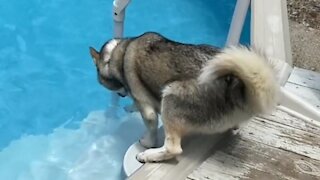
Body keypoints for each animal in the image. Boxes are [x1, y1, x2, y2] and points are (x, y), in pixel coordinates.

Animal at [89, 32, 278, 163]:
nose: (120, 94)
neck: (117, 53)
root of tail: (234, 85)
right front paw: (129, 107)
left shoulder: (145, 105)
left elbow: (150, 125)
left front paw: (147, 142)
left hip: (170, 95)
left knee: (173, 149)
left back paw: (149, 155)